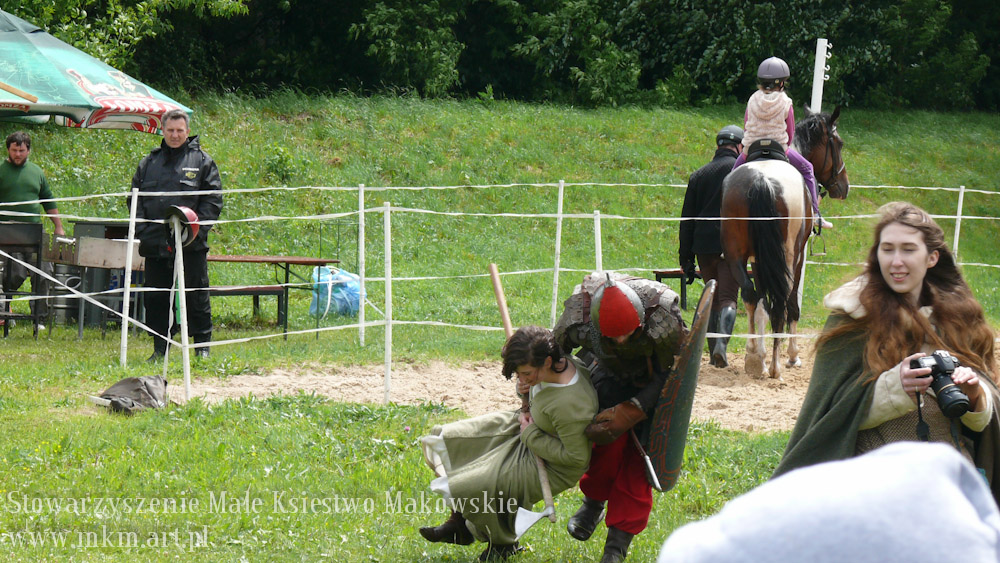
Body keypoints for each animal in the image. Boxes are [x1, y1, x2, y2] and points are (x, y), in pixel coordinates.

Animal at [720, 106, 849, 379]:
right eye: (838, 143)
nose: (844, 186)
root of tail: (762, 179)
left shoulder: (758, 261)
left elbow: (760, 302)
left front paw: (756, 354)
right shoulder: (798, 258)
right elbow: (792, 304)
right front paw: (792, 355)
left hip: (736, 255)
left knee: (750, 295)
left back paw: (756, 359)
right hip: (787, 257)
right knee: (781, 301)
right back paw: (776, 366)